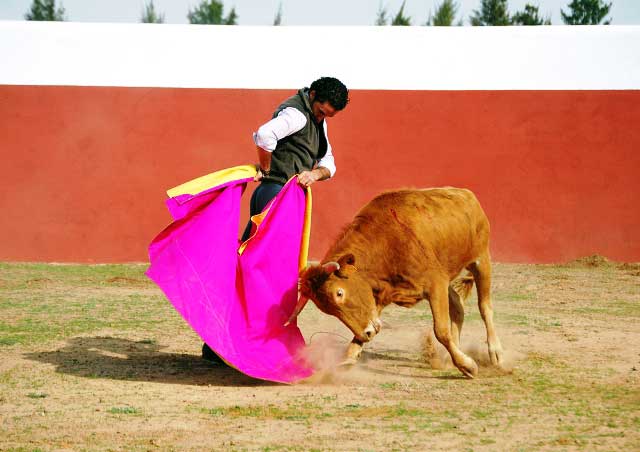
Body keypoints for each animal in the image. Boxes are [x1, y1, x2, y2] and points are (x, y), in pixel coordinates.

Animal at [288, 187, 502, 378]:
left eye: (339, 293)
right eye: (328, 310)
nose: (367, 334)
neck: (384, 244)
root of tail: (466, 194)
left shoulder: (435, 284)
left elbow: (441, 330)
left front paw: (468, 367)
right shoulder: (383, 294)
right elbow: (365, 327)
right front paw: (348, 358)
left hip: (481, 259)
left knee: (484, 307)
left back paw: (495, 354)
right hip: (448, 276)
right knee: (457, 305)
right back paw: (450, 359)